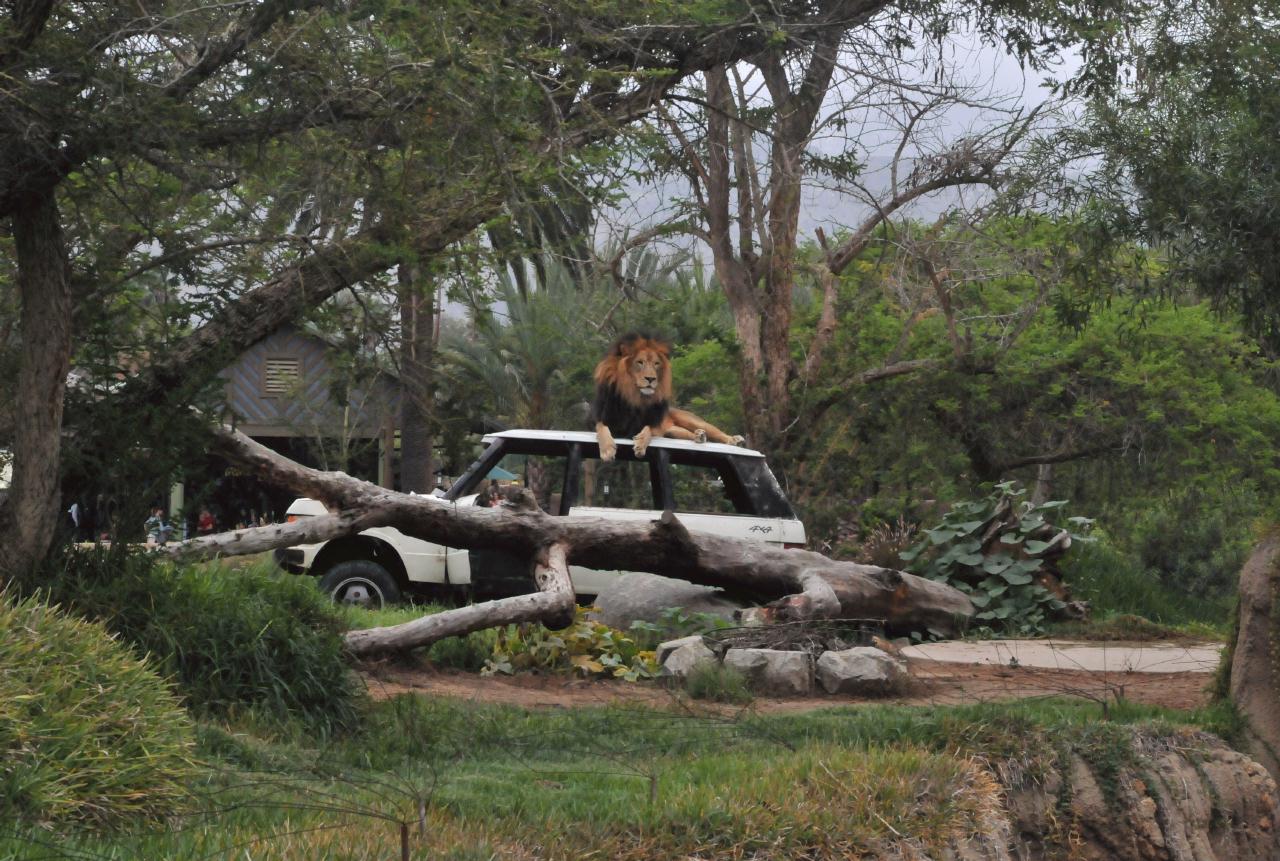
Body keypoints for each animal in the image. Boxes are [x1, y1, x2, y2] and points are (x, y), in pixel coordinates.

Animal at [591, 330, 747, 463]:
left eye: (656, 364)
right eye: (639, 362)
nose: (651, 379)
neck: (634, 399)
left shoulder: (654, 425)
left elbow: (648, 429)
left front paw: (640, 444)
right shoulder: (601, 420)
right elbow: (602, 429)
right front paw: (607, 450)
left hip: (693, 421)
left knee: (715, 432)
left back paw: (733, 439)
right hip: (673, 432)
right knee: (689, 435)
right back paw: (699, 436)